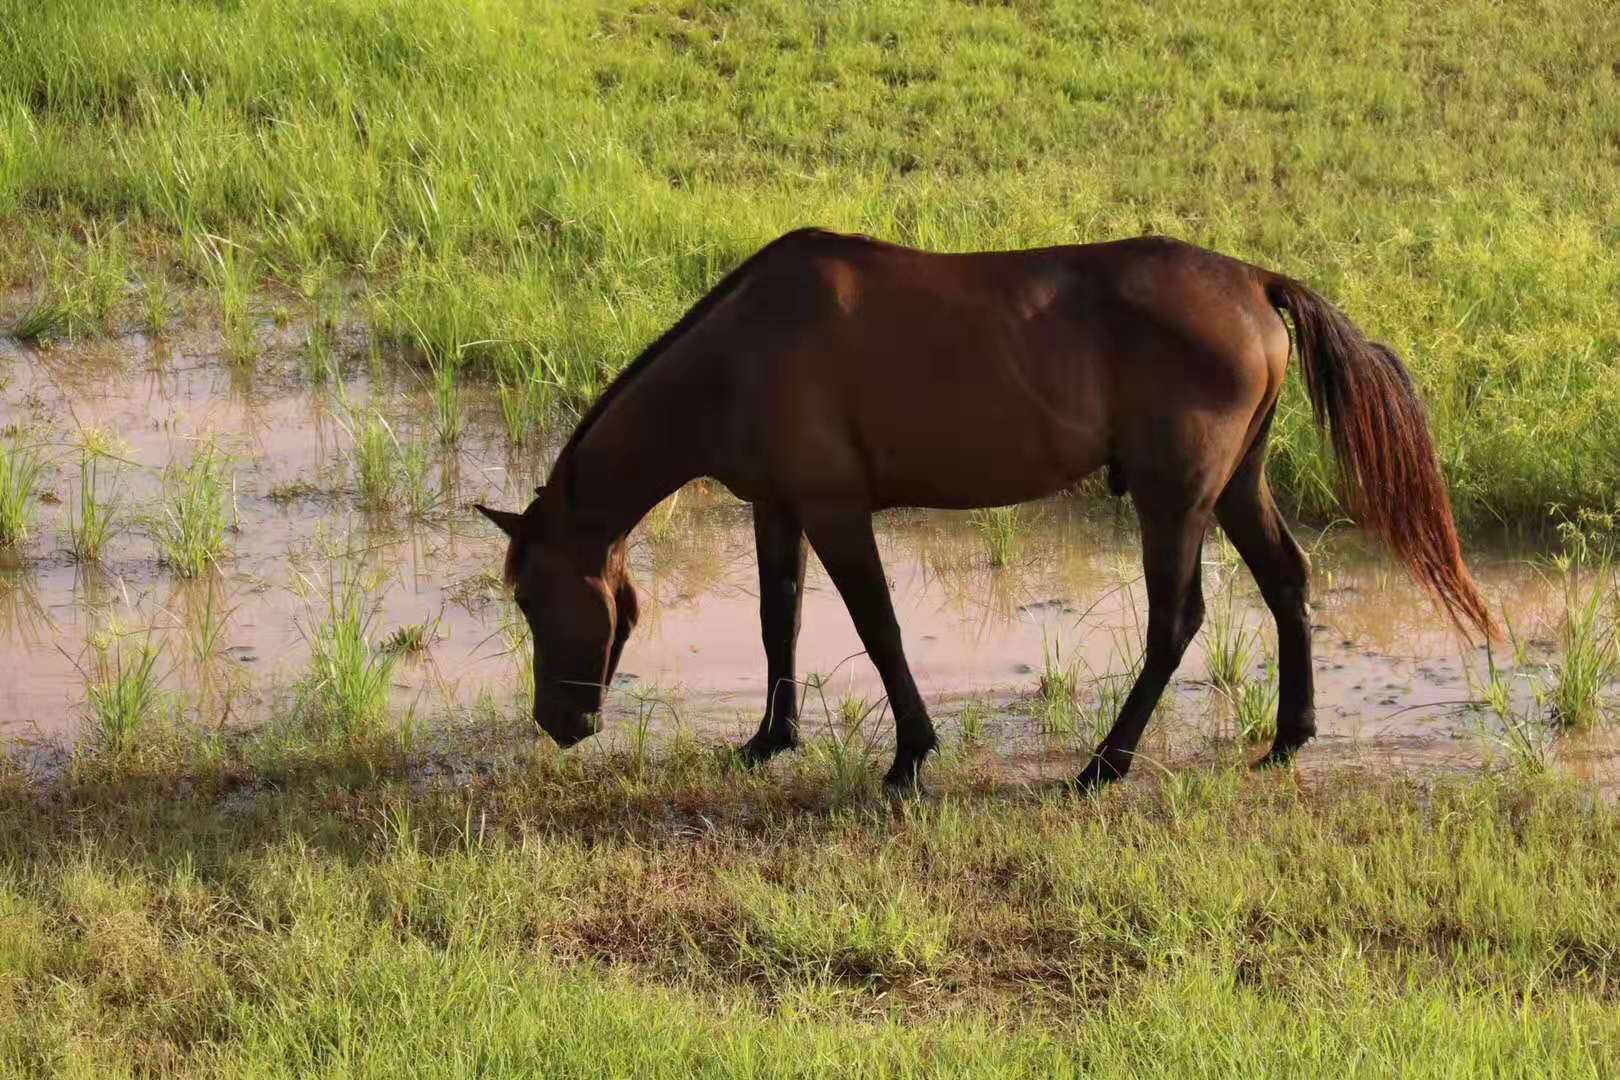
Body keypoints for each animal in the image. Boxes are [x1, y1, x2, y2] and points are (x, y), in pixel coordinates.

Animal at [476, 228, 1490, 793]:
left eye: (529, 598)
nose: (559, 723)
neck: (741, 353)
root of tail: (1252, 282)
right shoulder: (778, 508)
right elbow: (778, 620)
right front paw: (771, 739)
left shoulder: (838, 511)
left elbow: (876, 627)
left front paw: (910, 755)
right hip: (1238, 484)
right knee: (1287, 583)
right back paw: (1287, 740)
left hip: (1176, 498)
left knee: (1176, 621)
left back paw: (1103, 766)